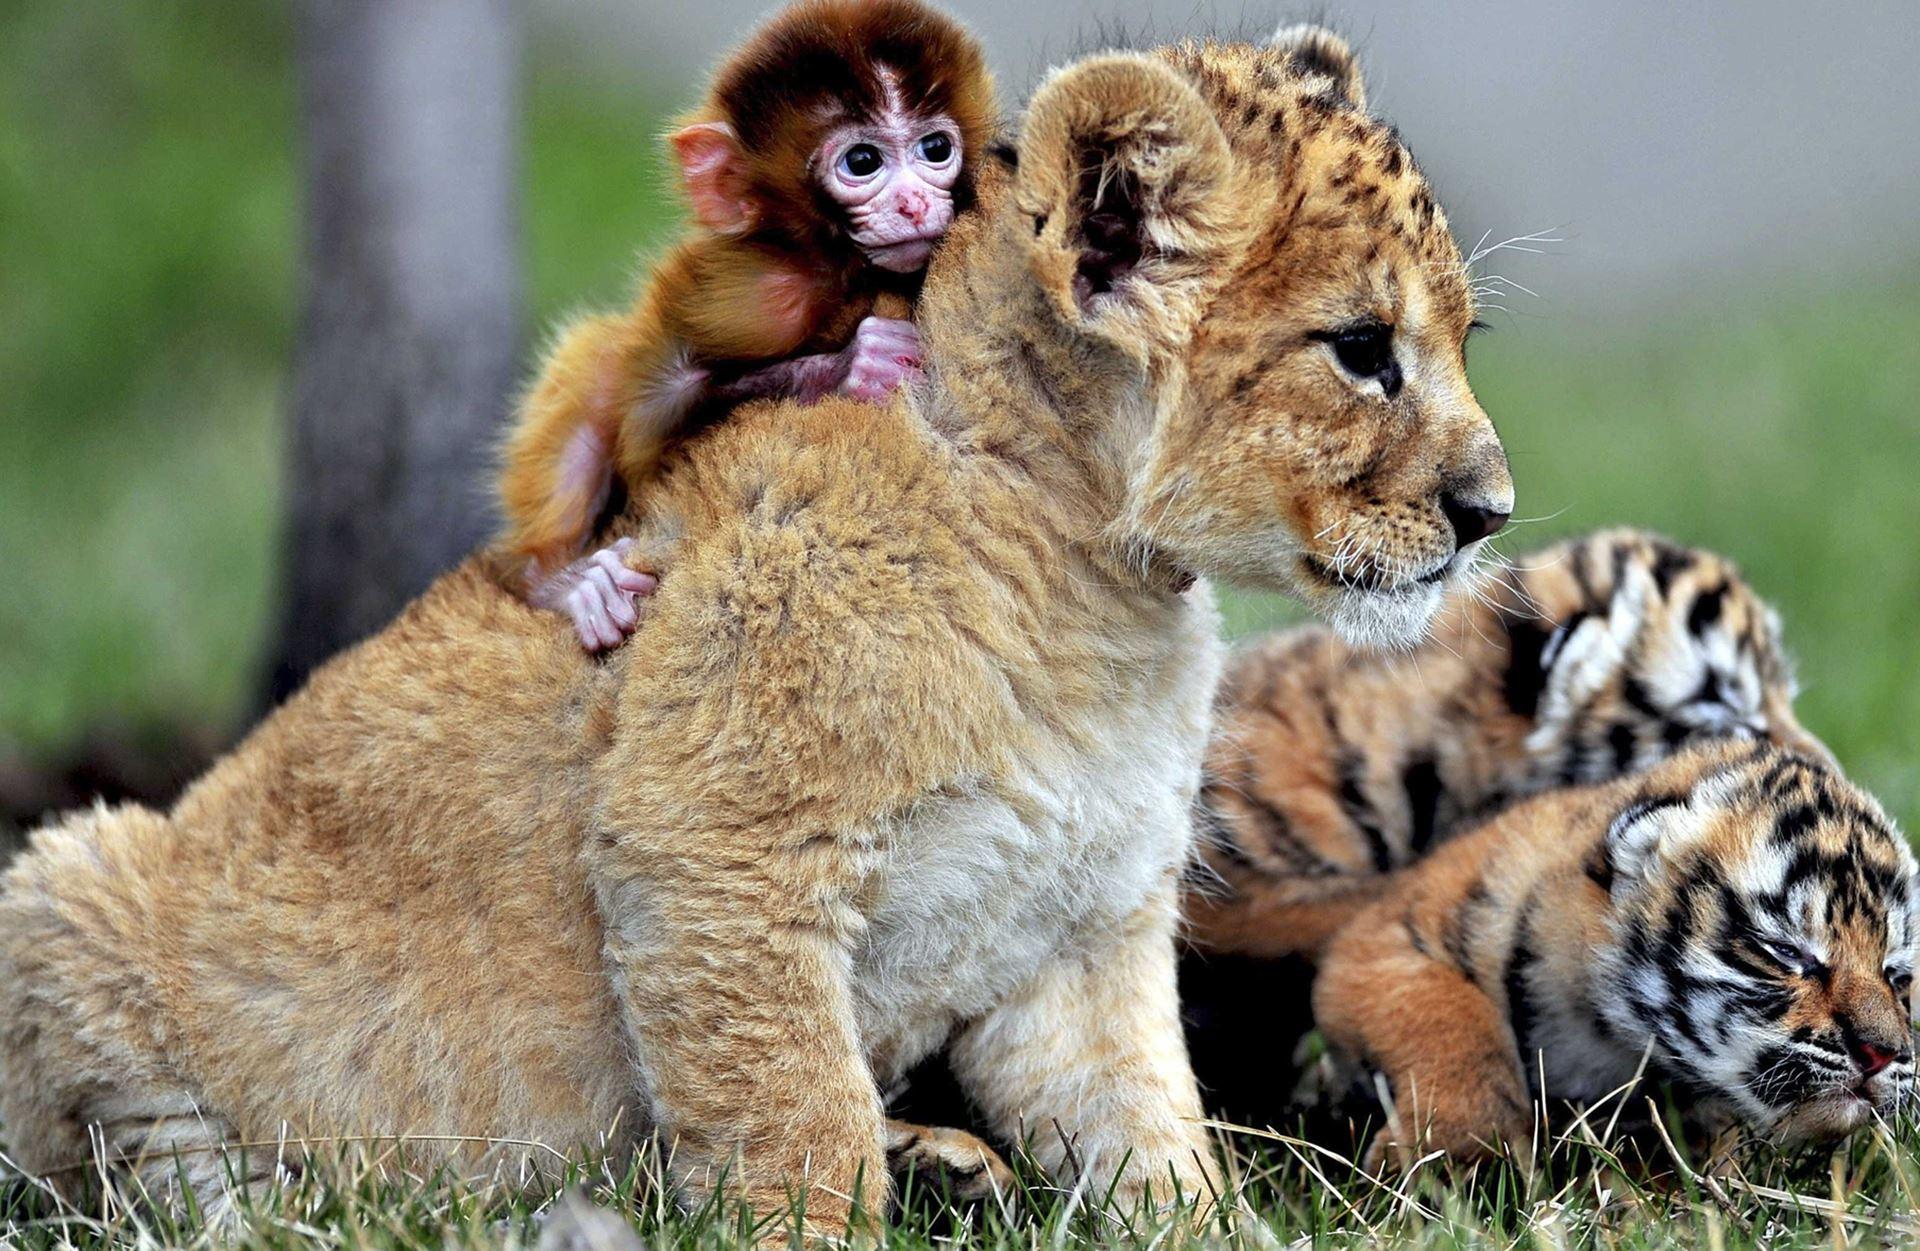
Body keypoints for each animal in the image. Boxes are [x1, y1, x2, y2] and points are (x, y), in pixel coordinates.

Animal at [497, 0, 997, 650]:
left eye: (935, 148)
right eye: (862, 162)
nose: (913, 204)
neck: (840, 267)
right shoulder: (758, 297)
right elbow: (653, 419)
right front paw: (857, 364)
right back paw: (558, 579)